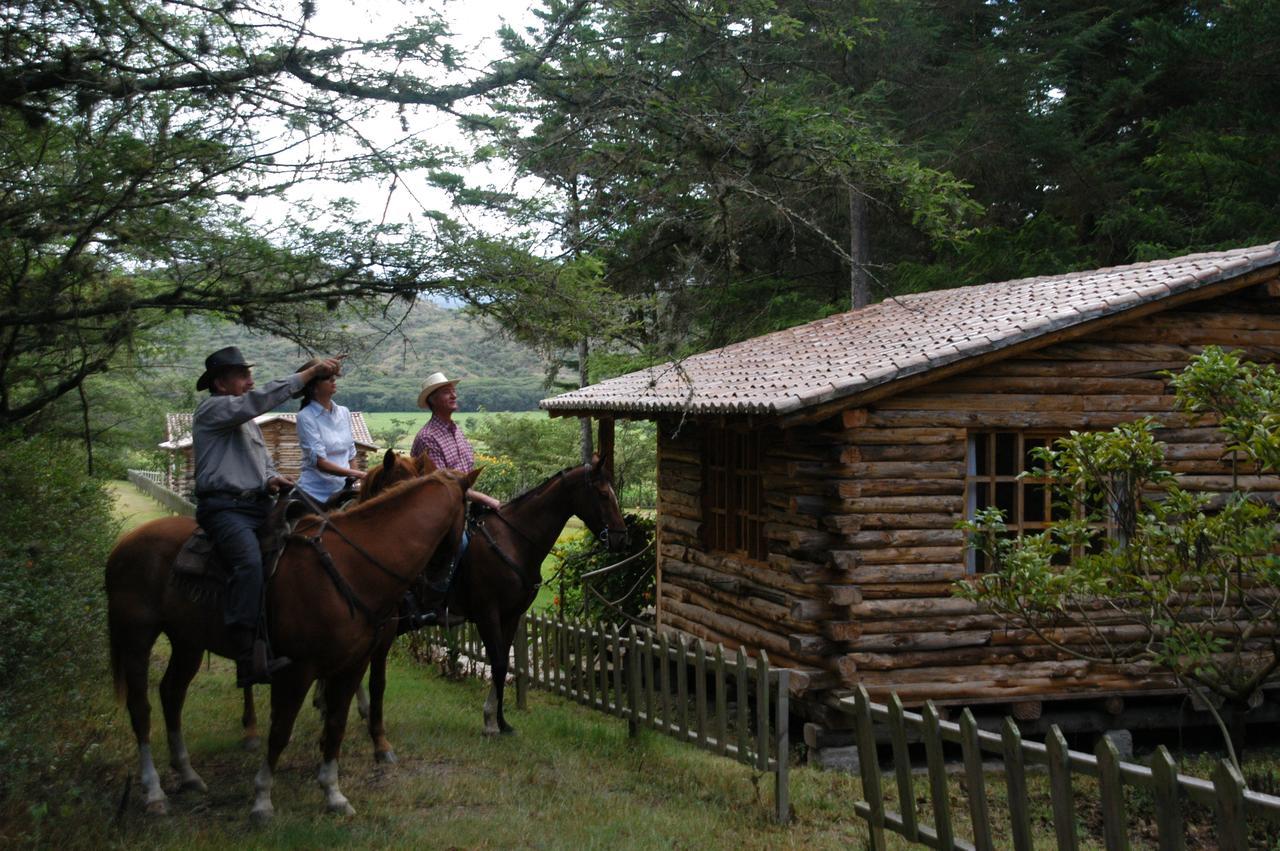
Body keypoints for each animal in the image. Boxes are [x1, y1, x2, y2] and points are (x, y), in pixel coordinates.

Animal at [107, 468, 478, 819]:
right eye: (466, 520)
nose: (434, 592)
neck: (352, 566)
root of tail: (123, 545)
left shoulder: (352, 666)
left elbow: (336, 724)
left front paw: (333, 793)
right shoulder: (297, 670)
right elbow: (281, 730)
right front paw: (262, 800)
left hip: (188, 643)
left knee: (172, 694)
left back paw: (188, 775)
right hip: (137, 638)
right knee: (141, 708)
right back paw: (154, 792)